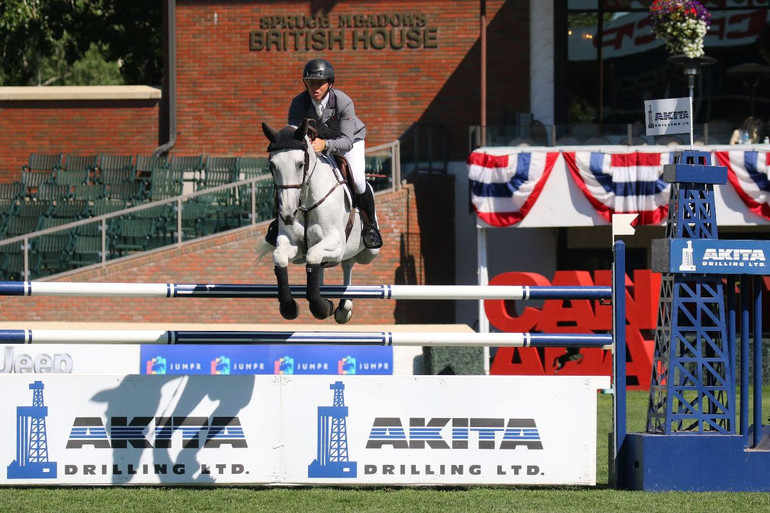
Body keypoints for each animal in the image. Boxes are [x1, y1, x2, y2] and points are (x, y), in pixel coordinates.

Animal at [258, 120, 378, 322]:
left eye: (300, 164)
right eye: (272, 165)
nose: (288, 214)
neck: (306, 202)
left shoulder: (336, 242)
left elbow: (313, 255)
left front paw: (320, 307)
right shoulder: (293, 244)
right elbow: (281, 257)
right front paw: (289, 307)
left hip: (369, 253)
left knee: (348, 262)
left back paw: (344, 308)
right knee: (329, 264)